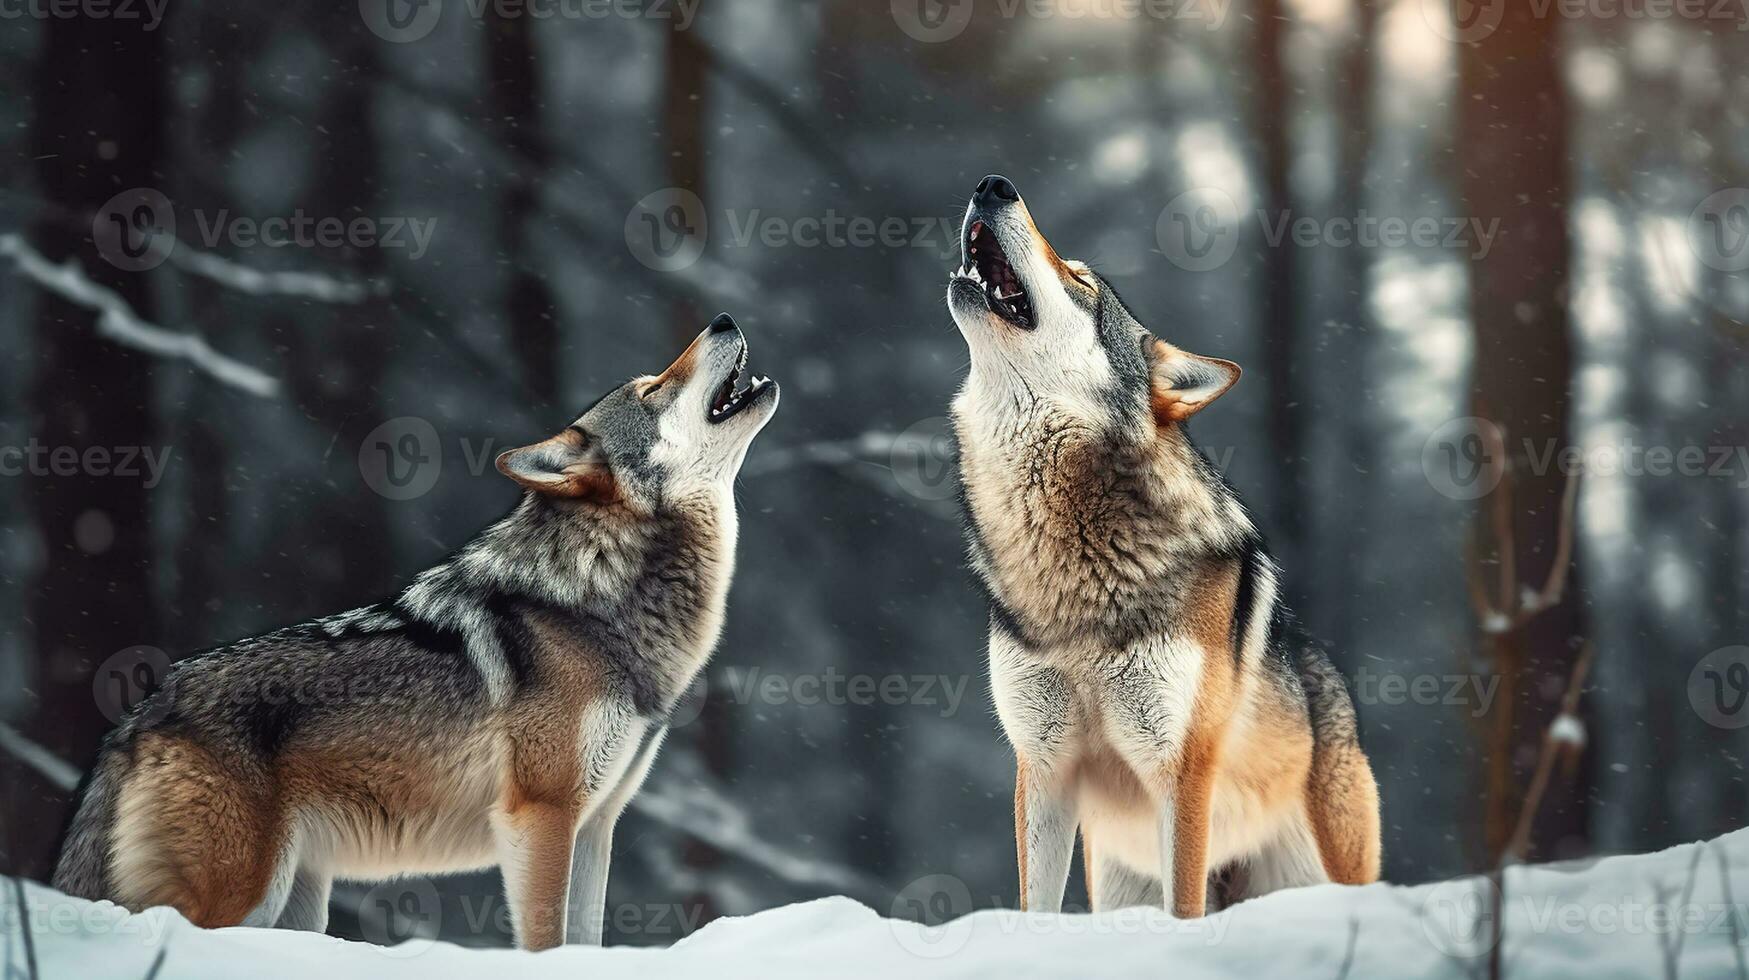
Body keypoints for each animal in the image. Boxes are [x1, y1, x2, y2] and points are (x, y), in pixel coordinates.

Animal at [54, 313, 780, 952]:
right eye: (650, 389)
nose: (720, 319)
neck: (596, 595)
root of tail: (141, 712)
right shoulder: (539, 815)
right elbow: (546, 943)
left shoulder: (597, 824)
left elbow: (585, 943)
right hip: (240, 897)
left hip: (298, 902)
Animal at [944, 175, 1378, 917]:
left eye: (1082, 281)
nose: (993, 184)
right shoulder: (1043, 765)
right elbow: (1036, 908)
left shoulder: (1180, 768)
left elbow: (1184, 908)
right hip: (1119, 884)